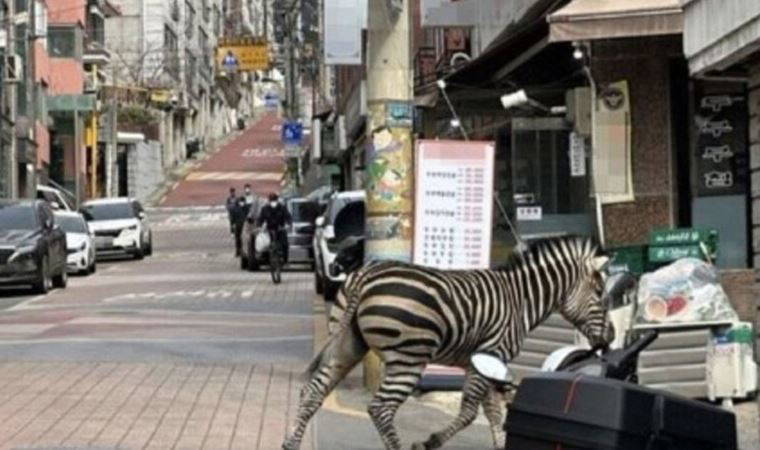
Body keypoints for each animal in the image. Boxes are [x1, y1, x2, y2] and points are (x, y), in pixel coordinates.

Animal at [283, 236, 618, 450]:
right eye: (600, 292)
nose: (611, 338)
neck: (521, 300)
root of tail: (366, 276)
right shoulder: (490, 355)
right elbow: (471, 411)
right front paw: (428, 442)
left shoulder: (485, 361)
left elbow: (493, 411)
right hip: (409, 358)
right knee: (380, 408)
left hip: (347, 344)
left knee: (313, 391)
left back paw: (291, 443)